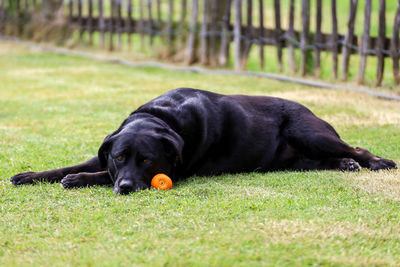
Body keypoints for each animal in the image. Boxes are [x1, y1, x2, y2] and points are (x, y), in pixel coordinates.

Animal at [9, 88, 396, 195]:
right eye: (120, 157)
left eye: (147, 161)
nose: (126, 187)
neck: (163, 118)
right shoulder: (105, 152)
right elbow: (70, 164)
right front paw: (29, 175)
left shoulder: (176, 171)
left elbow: (94, 174)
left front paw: (77, 180)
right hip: (295, 159)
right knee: (322, 161)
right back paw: (345, 165)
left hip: (308, 132)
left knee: (356, 147)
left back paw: (375, 162)